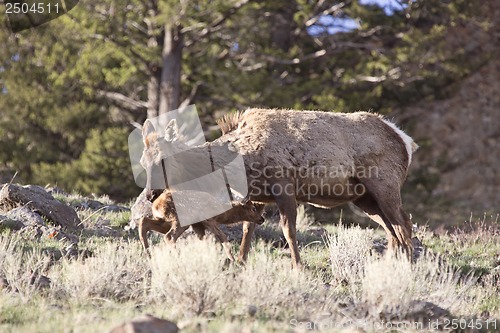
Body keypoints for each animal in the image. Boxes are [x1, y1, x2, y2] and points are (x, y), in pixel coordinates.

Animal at [142, 107, 418, 268]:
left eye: (163, 160)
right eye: (143, 161)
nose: (150, 194)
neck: (242, 165)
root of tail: (406, 141)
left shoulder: (284, 186)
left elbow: (289, 231)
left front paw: (298, 266)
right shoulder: (258, 196)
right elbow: (248, 228)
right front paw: (241, 261)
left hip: (385, 185)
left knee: (404, 224)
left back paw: (408, 266)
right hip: (364, 198)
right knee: (391, 229)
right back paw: (391, 265)